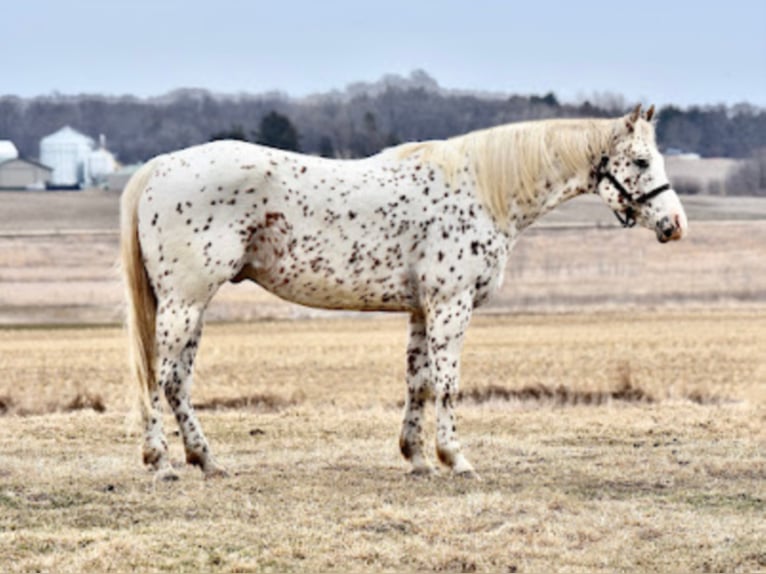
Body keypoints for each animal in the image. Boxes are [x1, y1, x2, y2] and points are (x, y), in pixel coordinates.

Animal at [121, 104, 688, 482]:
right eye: (641, 162)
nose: (675, 224)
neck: (482, 190)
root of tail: (159, 167)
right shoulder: (451, 307)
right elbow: (448, 385)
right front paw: (455, 458)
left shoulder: (422, 311)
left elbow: (419, 384)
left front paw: (416, 457)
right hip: (184, 304)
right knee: (158, 378)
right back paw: (163, 462)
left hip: (192, 308)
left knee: (177, 383)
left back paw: (207, 460)